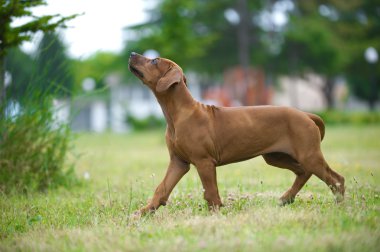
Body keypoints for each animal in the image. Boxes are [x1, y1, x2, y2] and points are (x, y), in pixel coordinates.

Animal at [127, 52, 344, 214]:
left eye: (154, 61)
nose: (132, 53)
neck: (178, 114)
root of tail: (306, 114)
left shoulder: (204, 162)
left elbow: (211, 191)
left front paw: (215, 214)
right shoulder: (178, 162)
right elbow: (162, 188)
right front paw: (144, 211)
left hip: (308, 154)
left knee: (335, 178)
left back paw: (340, 205)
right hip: (276, 156)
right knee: (303, 172)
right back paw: (286, 198)